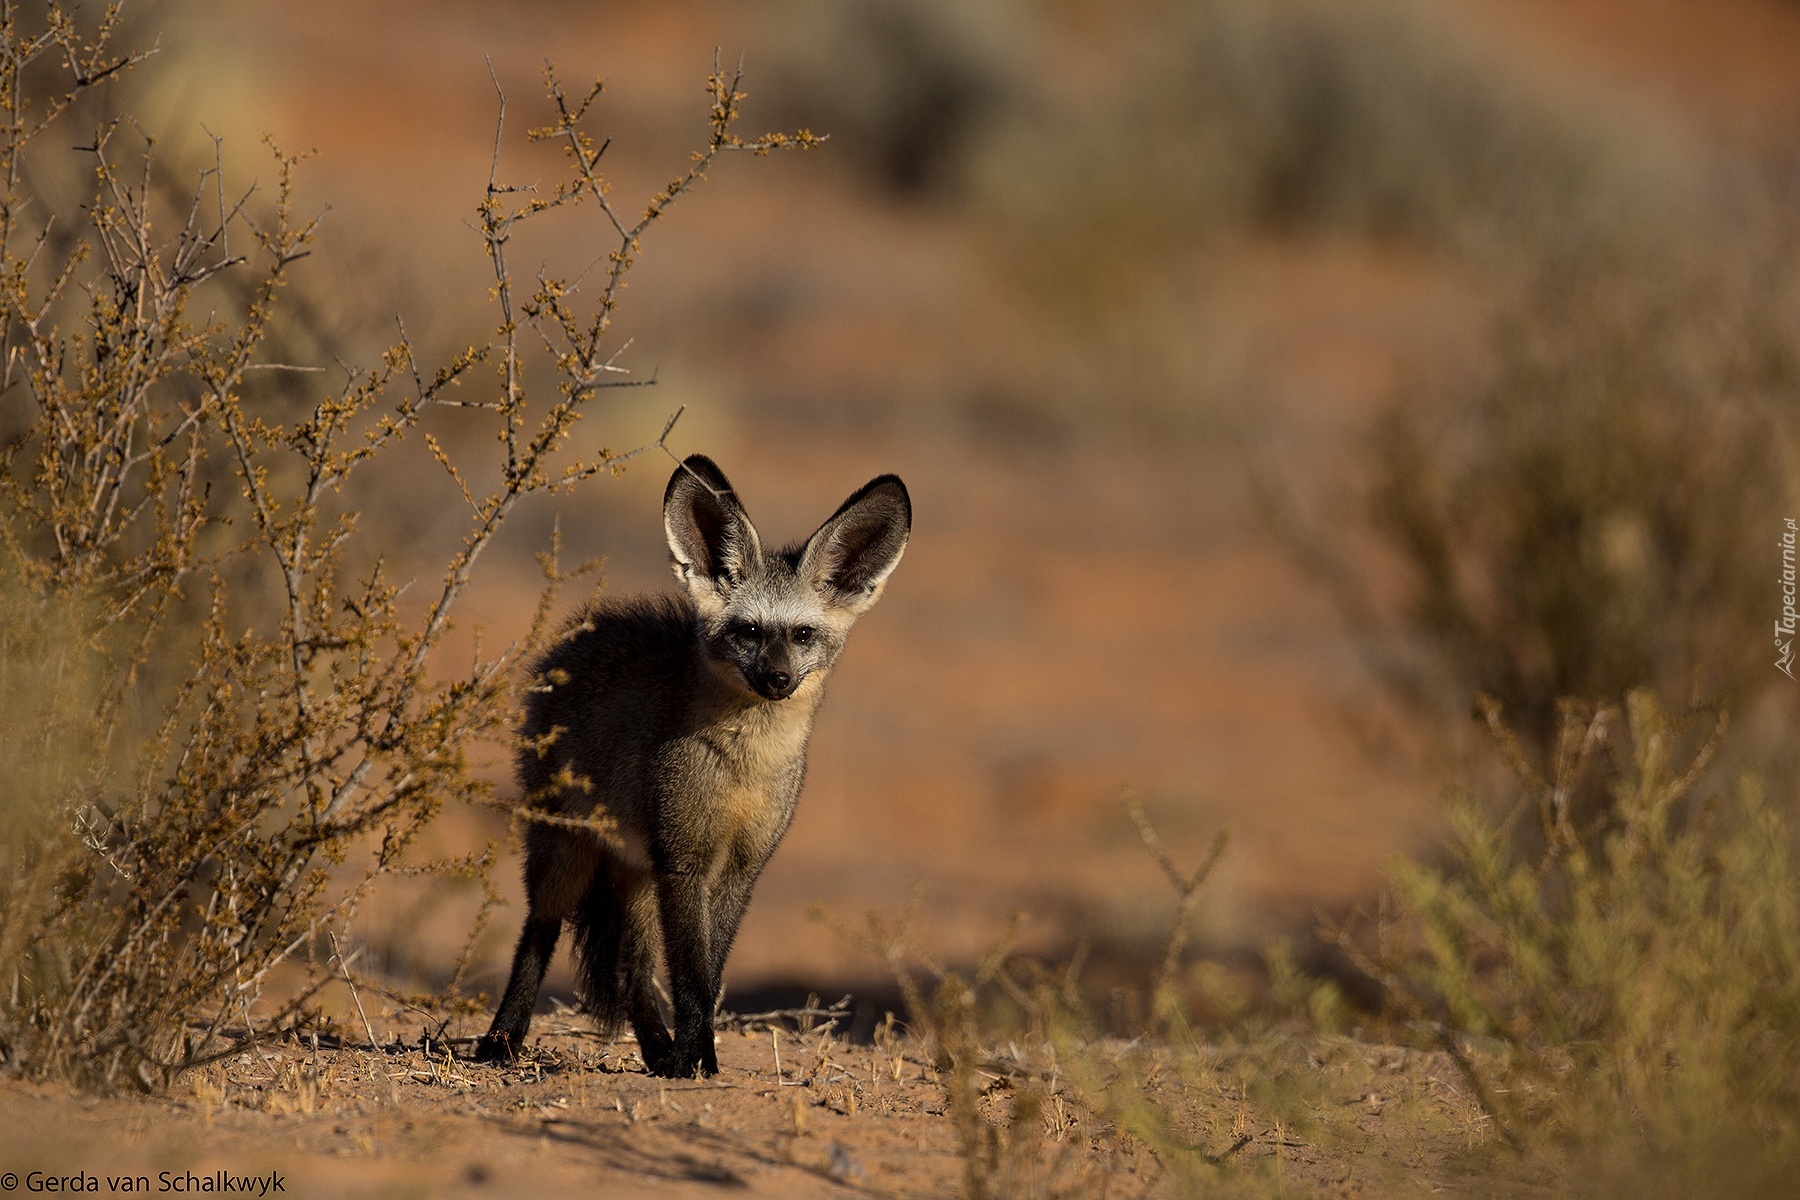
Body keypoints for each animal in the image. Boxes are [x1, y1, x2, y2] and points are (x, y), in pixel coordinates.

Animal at [475, 455, 914, 1072]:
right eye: (749, 631)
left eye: (802, 634)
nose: (777, 679)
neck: (743, 770)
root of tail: (579, 634)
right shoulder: (684, 861)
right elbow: (689, 976)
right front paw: (695, 1062)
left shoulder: (739, 869)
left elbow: (709, 974)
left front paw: (690, 1058)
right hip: (567, 851)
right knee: (538, 934)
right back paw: (502, 1040)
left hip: (635, 871)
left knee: (630, 968)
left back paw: (657, 1050)